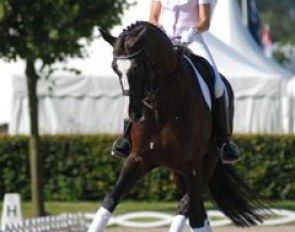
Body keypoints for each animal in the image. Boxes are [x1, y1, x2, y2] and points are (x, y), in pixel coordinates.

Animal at [88, 20, 268, 231]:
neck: (162, 107)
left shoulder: (192, 166)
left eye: (138, 66)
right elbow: (110, 200)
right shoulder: (138, 159)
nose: (131, 115)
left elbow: (194, 214)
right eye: (115, 68)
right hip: (178, 172)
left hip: (207, 161)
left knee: (190, 208)